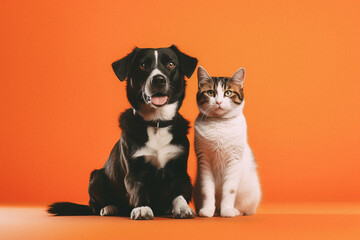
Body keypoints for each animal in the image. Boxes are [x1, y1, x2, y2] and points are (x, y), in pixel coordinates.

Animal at [47, 44, 197, 219]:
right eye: (143, 65)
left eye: (171, 64)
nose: (158, 80)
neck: (157, 123)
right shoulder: (134, 170)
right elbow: (138, 190)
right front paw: (142, 208)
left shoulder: (179, 169)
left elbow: (180, 192)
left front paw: (182, 208)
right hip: (96, 176)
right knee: (95, 205)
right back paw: (109, 208)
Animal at [194, 65, 262, 218]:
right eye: (211, 92)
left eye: (228, 93)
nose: (218, 102)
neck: (219, 124)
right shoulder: (204, 160)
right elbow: (207, 189)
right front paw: (207, 210)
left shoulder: (234, 159)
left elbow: (229, 190)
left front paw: (227, 211)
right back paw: (215, 211)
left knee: (245, 210)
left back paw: (234, 211)